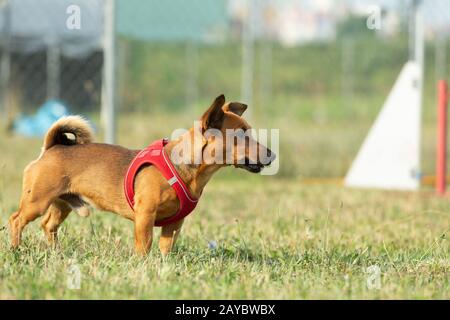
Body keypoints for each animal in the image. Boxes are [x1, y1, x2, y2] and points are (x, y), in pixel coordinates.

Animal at [9, 94, 274, 255]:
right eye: (242, 136)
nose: (271, 153)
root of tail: (53, 147)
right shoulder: (145, 215)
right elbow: (144, 245)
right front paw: (143, 266)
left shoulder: (174, 225)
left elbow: (166, 248)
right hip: (36, 201)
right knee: (16, 220)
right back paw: (15, 249)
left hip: (61, 204)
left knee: (48, 225)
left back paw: (56, 251)